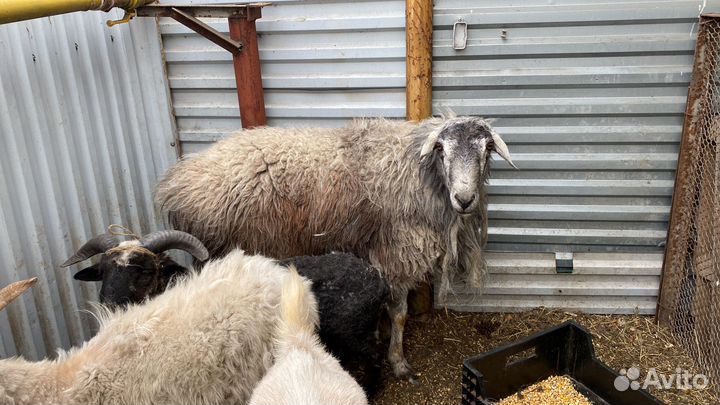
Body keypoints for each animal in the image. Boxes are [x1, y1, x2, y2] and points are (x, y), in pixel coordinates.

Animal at [154, 115, 516, 380]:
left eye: (486, 150)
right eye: (442, 148)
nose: (465, 199)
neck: (419, 174)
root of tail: (177, 180)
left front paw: (381, 336)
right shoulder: (397, 254)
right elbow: (399, 314)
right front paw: (398, 361)